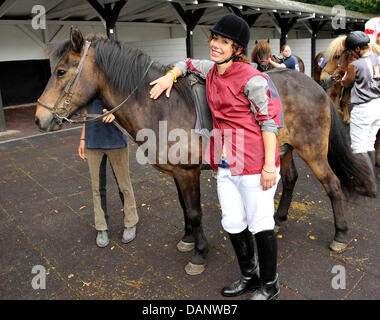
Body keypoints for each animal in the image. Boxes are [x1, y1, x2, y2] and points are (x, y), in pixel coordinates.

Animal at [35, 28, 374, 276]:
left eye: (61, 71)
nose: (39, 118)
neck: (161, 105)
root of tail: (316, 86)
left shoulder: (188, 172)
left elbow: (195, 212)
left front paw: (199, 254)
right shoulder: (177, 173)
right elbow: (185, 209)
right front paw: (187, 240)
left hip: (313, 150)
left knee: (333, 185)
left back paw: (340, 235)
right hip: (285, 148)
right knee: (290, 179)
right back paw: (278, 218)